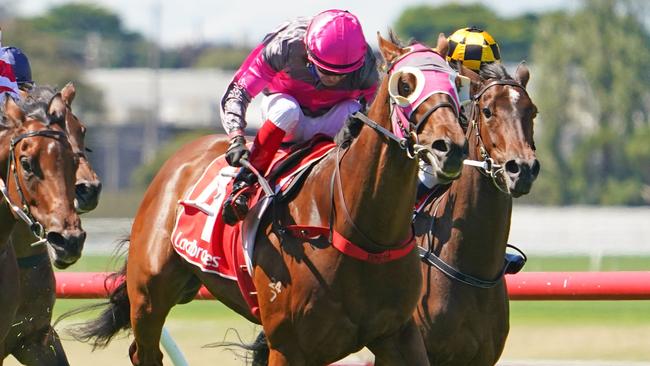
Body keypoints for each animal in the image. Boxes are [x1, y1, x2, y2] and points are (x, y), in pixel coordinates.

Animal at [71, 33, 466, 364]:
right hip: (149, 294)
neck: (357, 228)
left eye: (455, 82)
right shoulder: (289, 346)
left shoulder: (397, 335)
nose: (450, 149)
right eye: (405, 84)